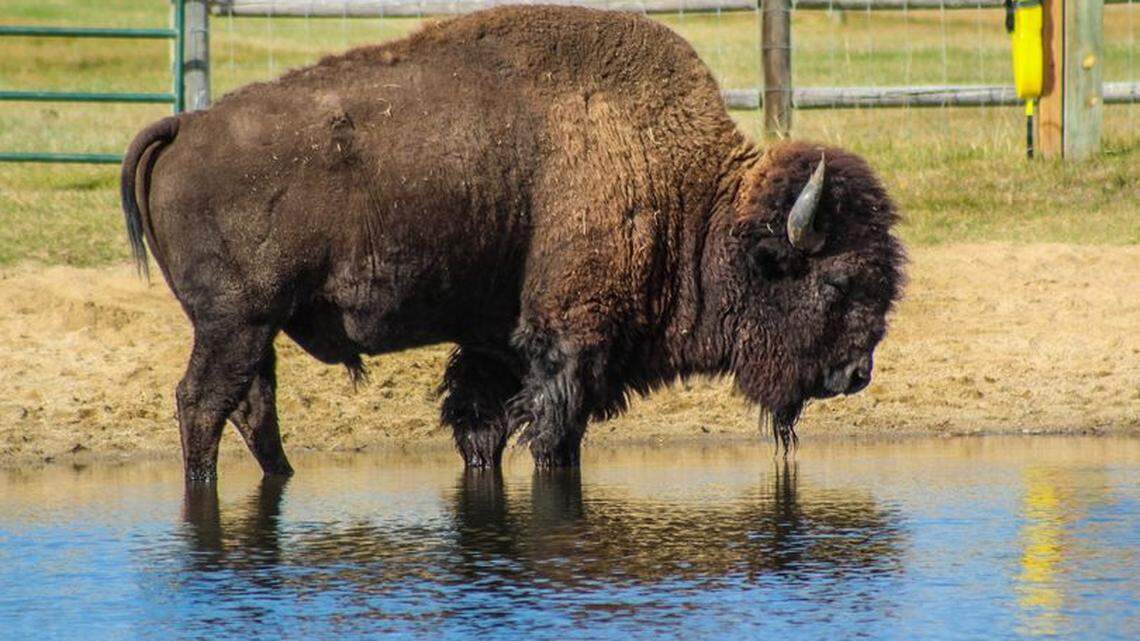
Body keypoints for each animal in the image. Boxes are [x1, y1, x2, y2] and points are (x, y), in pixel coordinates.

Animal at [120, 6, 904, 482]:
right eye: (836, 281)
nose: (854, 373)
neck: (693, 196)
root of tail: (185, 124)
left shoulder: (497, 345)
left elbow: (482, 428)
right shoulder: (572, 346)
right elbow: (554, 436)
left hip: (254, 329)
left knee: (250, 406)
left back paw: (282, 478)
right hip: (235, 322)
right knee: (201, 403)